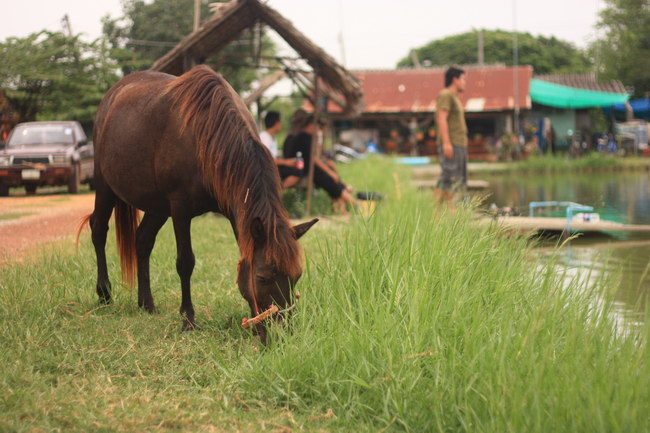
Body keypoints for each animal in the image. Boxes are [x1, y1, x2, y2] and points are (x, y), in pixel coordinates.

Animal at [83, 65, 316, 340]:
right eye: (262, 277)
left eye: (297, 276)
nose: (281, 334)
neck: (208, 139)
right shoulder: (180, 209)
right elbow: (185, 262)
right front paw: (188, 320)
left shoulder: (232, 210)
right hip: (105, 186)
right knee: (98, 230)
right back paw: (104, 294)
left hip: (157, 207)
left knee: (142, 241)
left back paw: (146, 302)